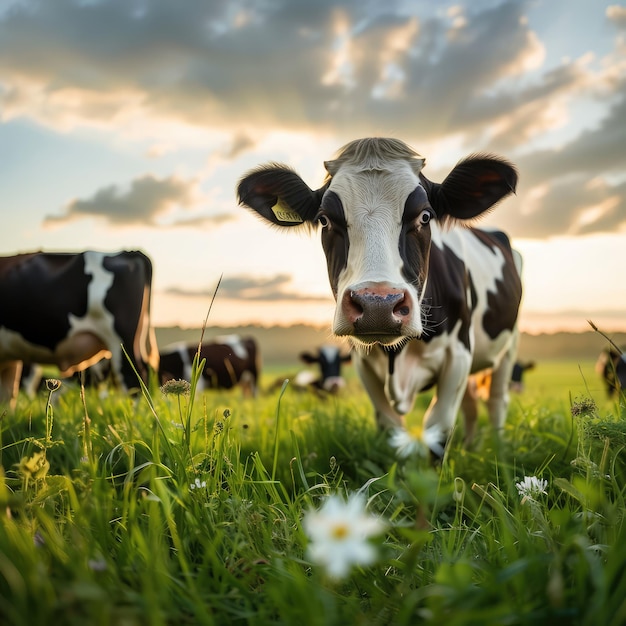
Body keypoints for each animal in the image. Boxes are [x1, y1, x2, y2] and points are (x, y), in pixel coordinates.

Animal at [236, 137, 520, 448]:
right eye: (324, 219)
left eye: (425, 216)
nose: (378, 305)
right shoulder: (363, 363)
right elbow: (389, 426)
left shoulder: (458, 353)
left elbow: (438, 426)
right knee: (471, 404)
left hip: (508, 347)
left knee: (497, 401)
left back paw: (499, 450)